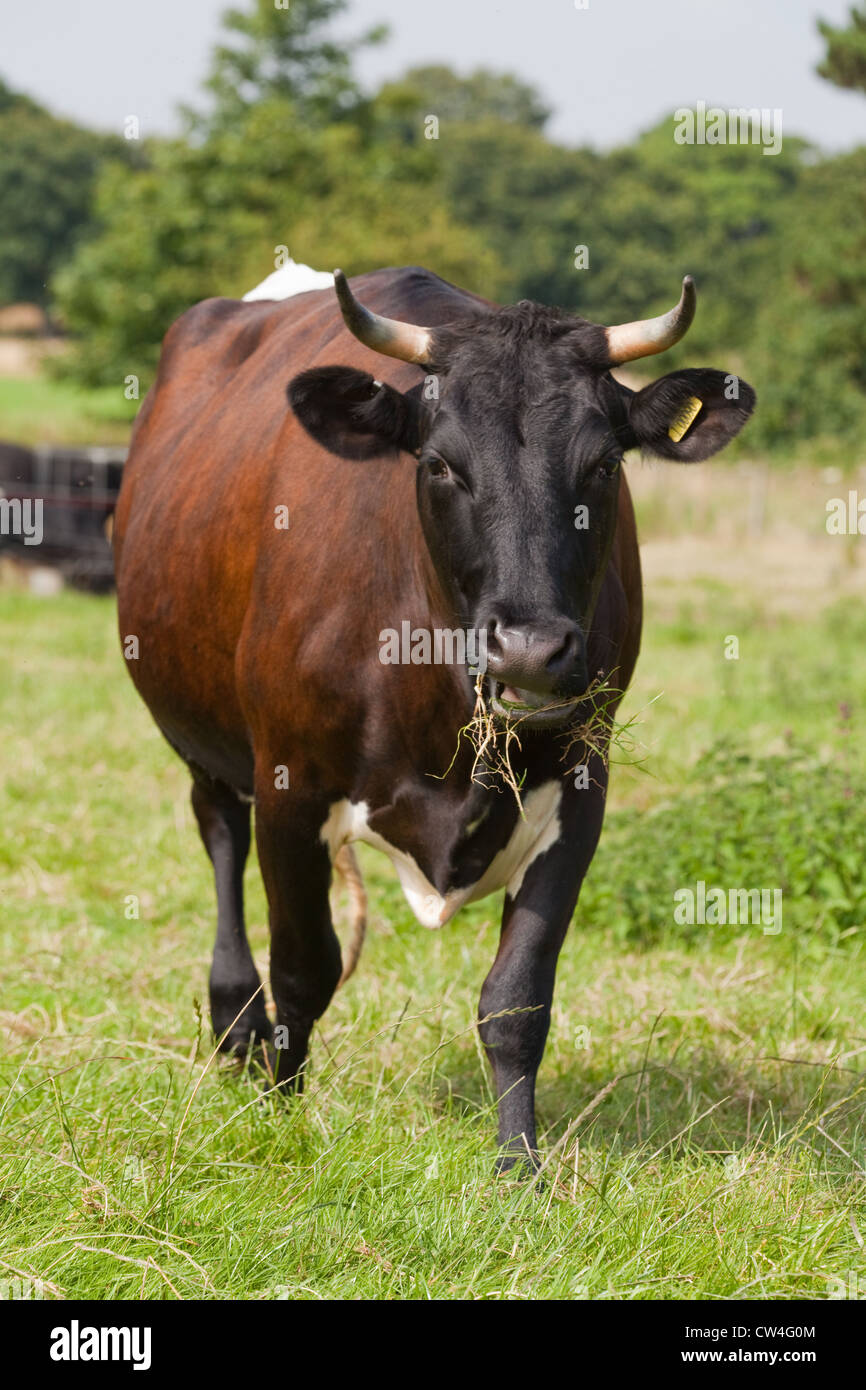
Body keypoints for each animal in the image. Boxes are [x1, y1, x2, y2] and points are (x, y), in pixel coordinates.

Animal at [113, 262, 750, 1173]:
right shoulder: (289, 786)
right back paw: (237, 1026)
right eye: (442, 465)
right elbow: (305, 966)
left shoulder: (581, 785)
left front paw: (519, 1163)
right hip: (201, 736)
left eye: (603, 465)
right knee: (220, 838)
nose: (529, 649)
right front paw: (282, 1113)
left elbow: (517, 1000)